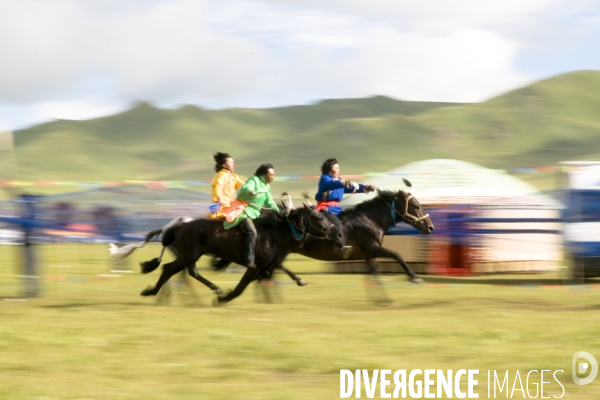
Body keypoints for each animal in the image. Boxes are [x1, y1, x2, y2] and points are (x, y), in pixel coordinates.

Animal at [134, 205, 338, 304]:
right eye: (318, 217)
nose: (334, 231)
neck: (273, 235)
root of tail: (177, 226)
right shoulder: (254, 267)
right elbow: (241, 288)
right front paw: (223, 299)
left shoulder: (267, 266)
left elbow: (270, 275)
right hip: (187, 255)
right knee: (169, 269)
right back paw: (152, 292)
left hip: (189, 256)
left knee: (181, 271)